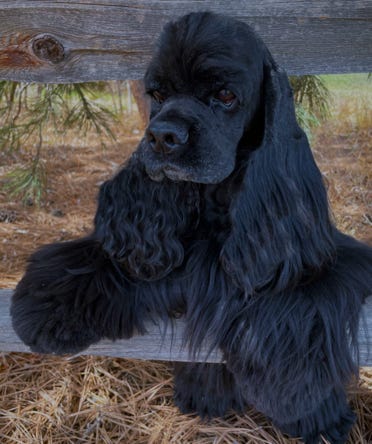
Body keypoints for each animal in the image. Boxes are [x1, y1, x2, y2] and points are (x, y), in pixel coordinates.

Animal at [10, 12, 372, 442]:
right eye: (157, 94)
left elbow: (299, 301)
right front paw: (48, 306)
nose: (162, 136)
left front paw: (300, 397)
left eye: (226, 95)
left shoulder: (321, 254)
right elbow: (101, 260)